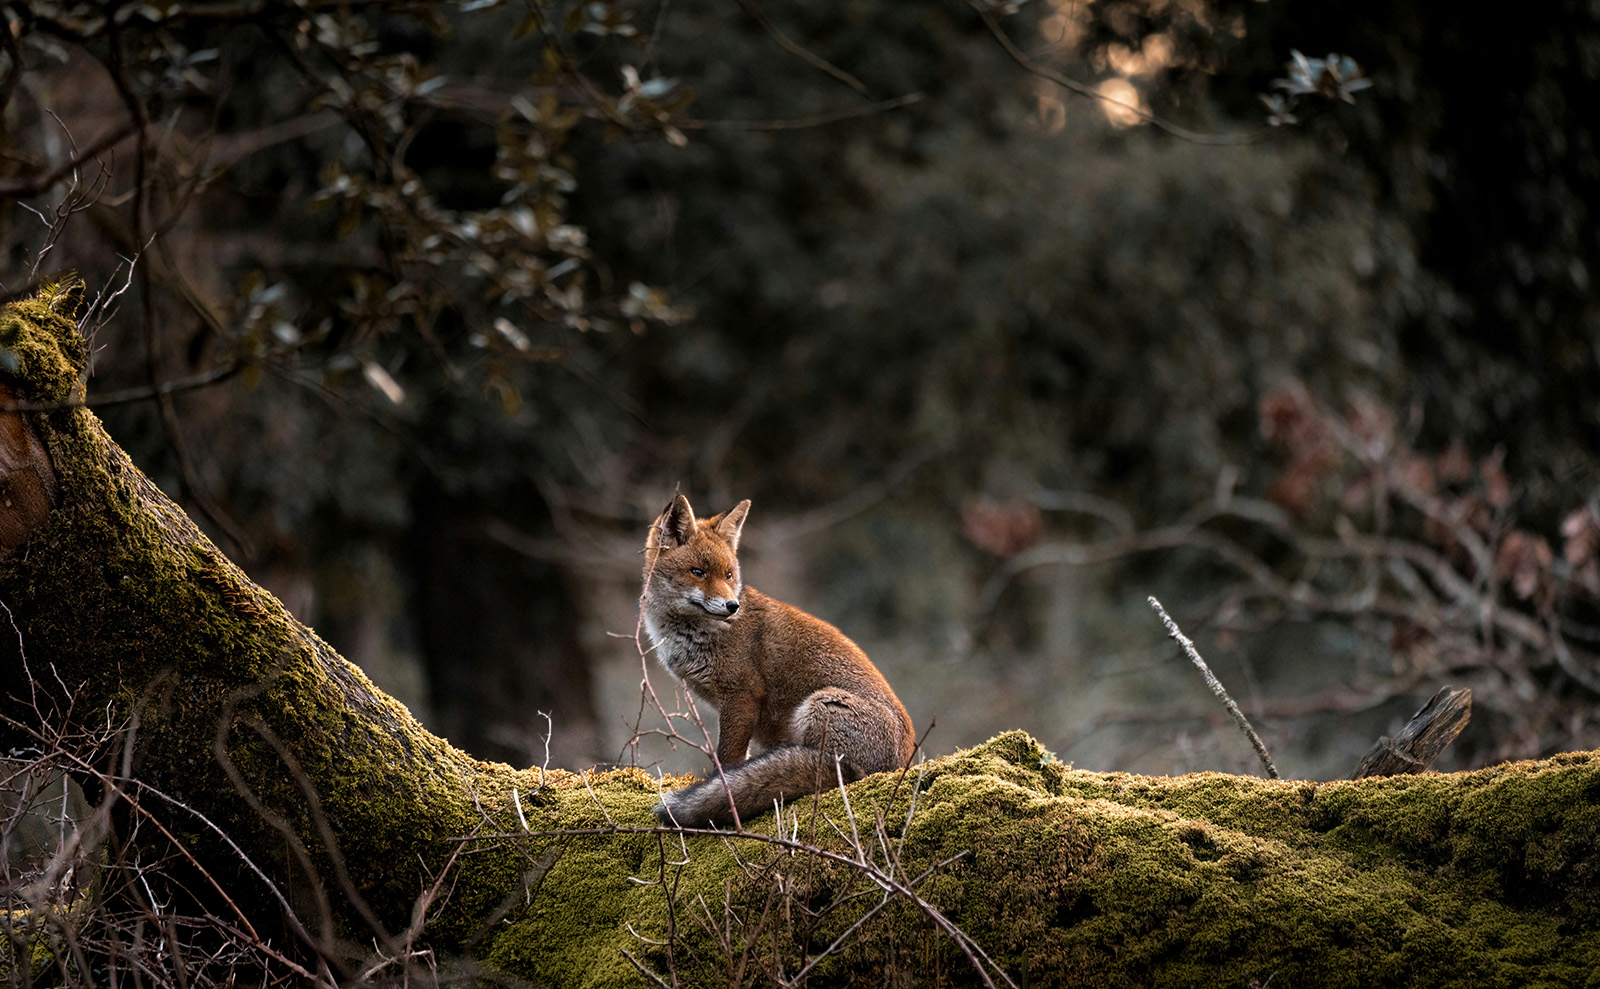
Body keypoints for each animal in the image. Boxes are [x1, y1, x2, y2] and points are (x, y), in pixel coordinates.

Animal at [641, 494, 916, 828]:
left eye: (729, 575)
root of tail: (901, 763)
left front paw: (722, 791)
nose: (732, 606)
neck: (693, 634)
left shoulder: (742, 695)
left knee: (837, 775)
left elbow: (727, 761)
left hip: (821, 705)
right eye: (698, 572)